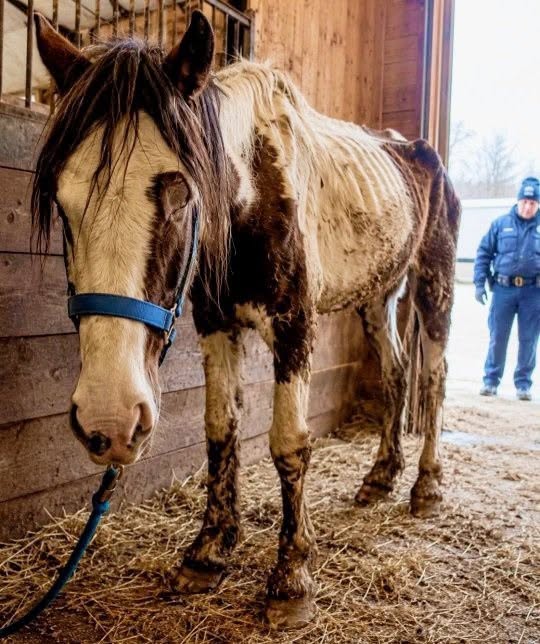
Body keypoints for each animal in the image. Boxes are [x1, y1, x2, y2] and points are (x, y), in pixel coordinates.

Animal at [32, 11, 460, 629]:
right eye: (62, 203)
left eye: (182, 194)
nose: (110, 424)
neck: (255, 193)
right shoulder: (216, 323)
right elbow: (220, 429)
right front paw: (207, 554)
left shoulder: (295, 326)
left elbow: (289, 443)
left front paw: (291, 578)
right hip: (378, 295)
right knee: (397, 373)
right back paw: (380, 477)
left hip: (434, 282)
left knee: (431, 379)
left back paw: (425, 487)